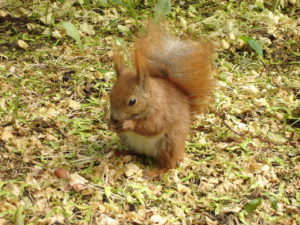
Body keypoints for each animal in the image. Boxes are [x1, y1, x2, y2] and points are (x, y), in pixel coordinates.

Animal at [109, 24, 214, 178]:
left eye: (132, 101)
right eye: (110, 93)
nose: (114, 118)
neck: (152, 100)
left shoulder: (162, 112)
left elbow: (152, 126)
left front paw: (129, 124)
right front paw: (110, 124)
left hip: (170, 143)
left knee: (169, 164)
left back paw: (155, 171)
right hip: (127, 139)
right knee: (135, 152)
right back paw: (121, 152)